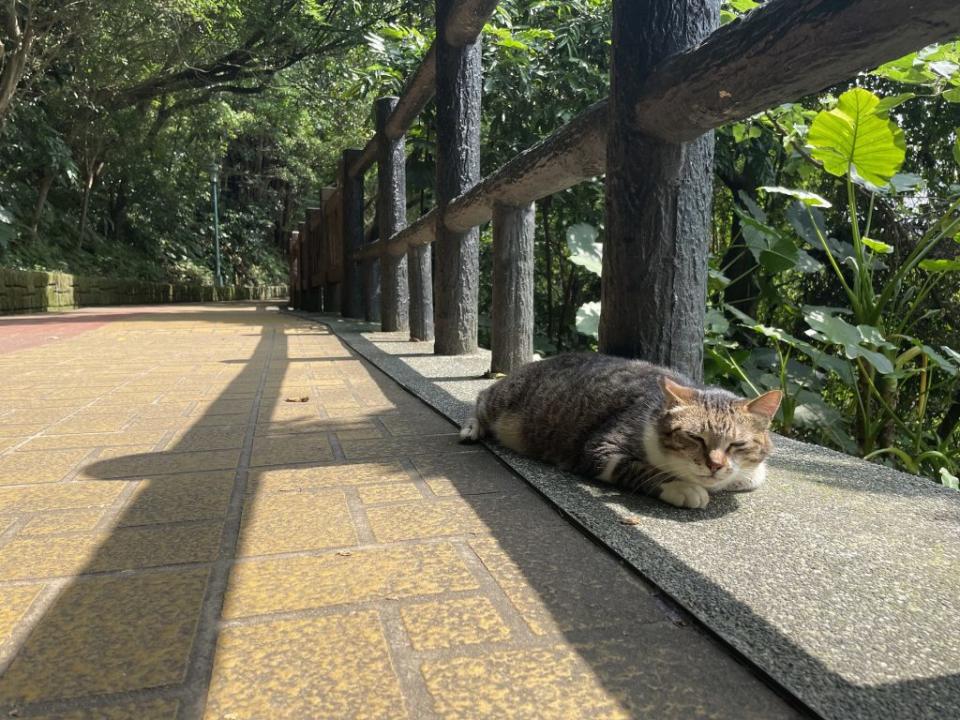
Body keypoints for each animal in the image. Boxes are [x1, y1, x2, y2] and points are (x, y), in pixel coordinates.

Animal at [462, 352, 784, 510]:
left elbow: (749, 477)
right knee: (481, 398)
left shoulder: (751, 474)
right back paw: (471, 428)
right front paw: (683, 487)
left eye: (737, 445)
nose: (715, 465)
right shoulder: (601, 447)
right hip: (503, 400)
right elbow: (644, 469)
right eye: (694, 438)